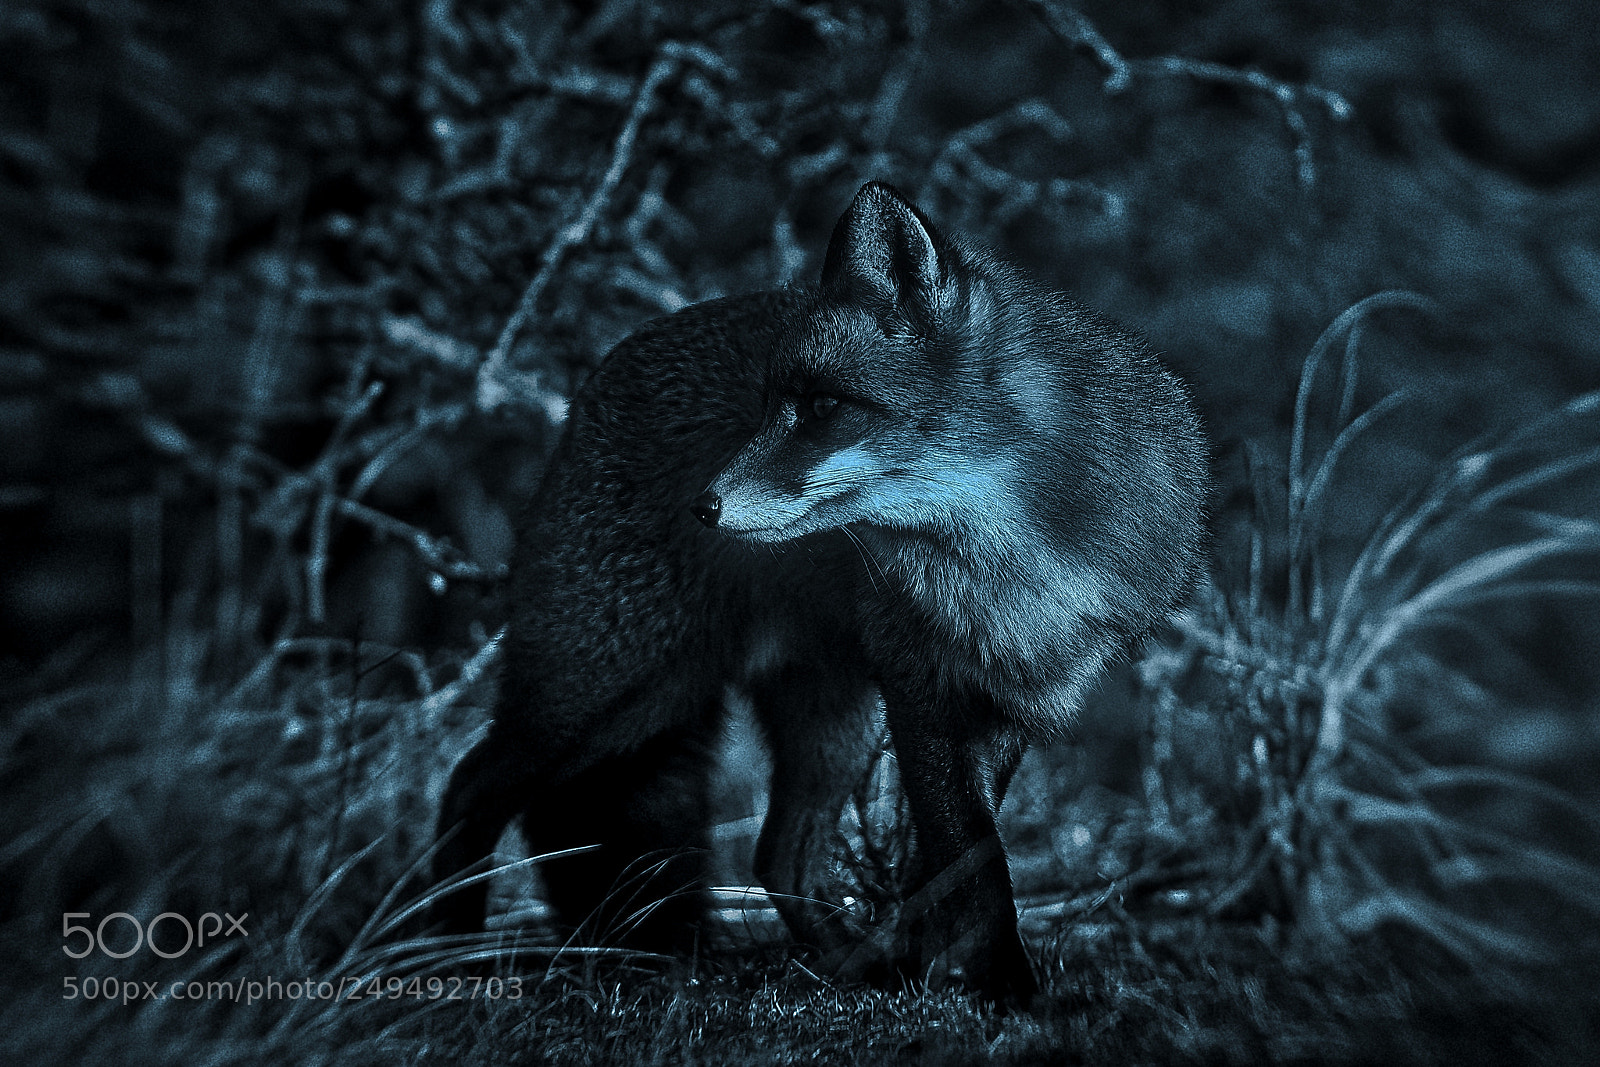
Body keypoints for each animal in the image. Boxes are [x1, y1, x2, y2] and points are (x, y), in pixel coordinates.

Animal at [431, 181, 1207, 1002]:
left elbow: (945, 867)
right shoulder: (922, 686)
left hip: (810, 713)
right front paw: (1009, 990)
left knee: (780, 850)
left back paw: (857, 968)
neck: (1019, 559)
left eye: (823, 406)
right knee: (472, 784)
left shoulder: (1014, 692)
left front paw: (943, 971)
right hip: (607, 688)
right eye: (767, 405)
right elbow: (977, 863)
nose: (701, 506)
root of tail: (593, 385)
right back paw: (440, 946)